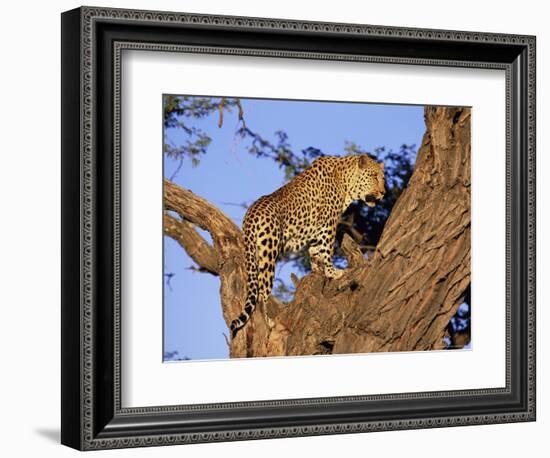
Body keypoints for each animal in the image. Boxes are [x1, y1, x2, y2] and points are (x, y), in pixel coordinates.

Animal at [231, 154, 386, 336]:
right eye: (374, 176)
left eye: (382, 178)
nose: (383, 193)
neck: (346, 183)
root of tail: (250, 215)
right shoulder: (328, 224)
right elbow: (327, 250)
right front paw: (333, 272)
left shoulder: (316, 230)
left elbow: (315, 252)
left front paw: (318, 272)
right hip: (268, 252)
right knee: (263, 291)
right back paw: (269, 321)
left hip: (253, 253)